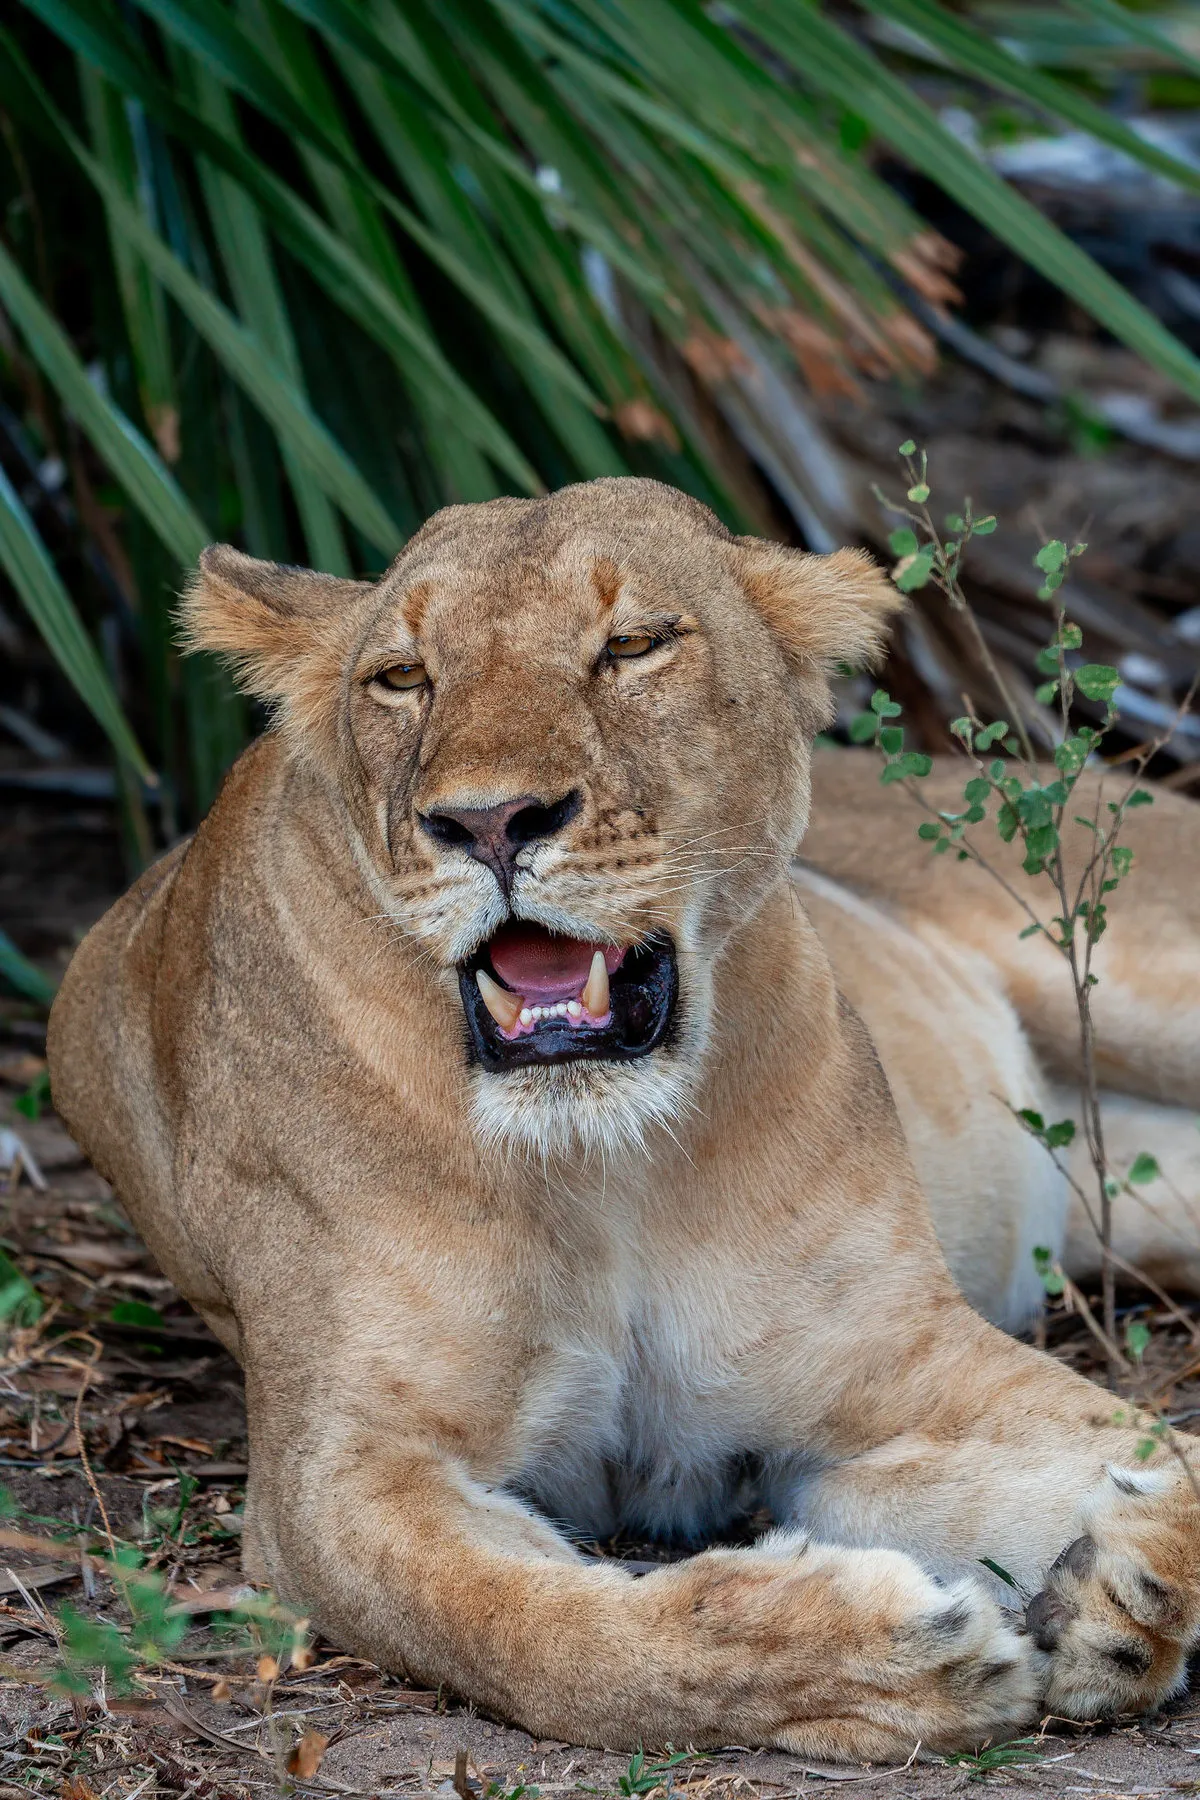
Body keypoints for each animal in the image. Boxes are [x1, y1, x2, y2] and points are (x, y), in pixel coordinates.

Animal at [47, 478, 1200, 1762]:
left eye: (634, 646)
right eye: (402, 677)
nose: (491, 822)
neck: (608, 1167)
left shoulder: (900, 1368)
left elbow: (1173, 1459)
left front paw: (1122, 1591)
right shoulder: (340, 1476)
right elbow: (533, 1633)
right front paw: (884, 1666)